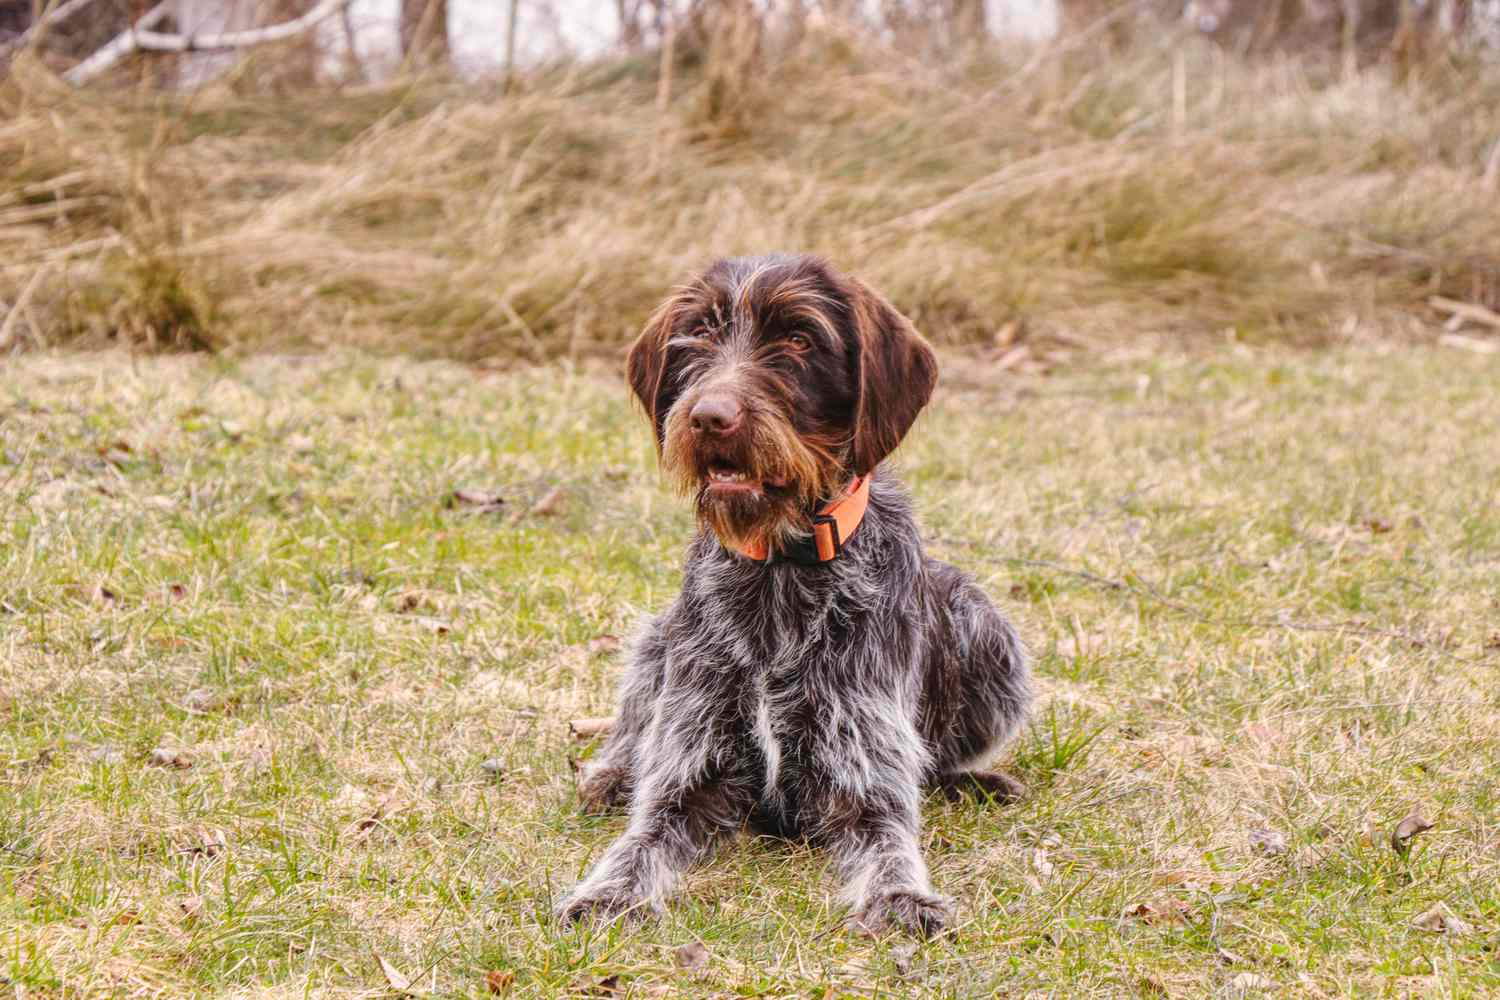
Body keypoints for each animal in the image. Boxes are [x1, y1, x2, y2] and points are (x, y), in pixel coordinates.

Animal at [558, 251, 1038, 941]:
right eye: (700, 332)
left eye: (800, 339)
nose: (709, 417)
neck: (781, 567)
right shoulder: (690, 769)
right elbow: (641, 837)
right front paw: (606, 892)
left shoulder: (865, 775)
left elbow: (891, 840)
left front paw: (903, 898)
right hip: (658, 637)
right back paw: (613, 772)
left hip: (988, 629)